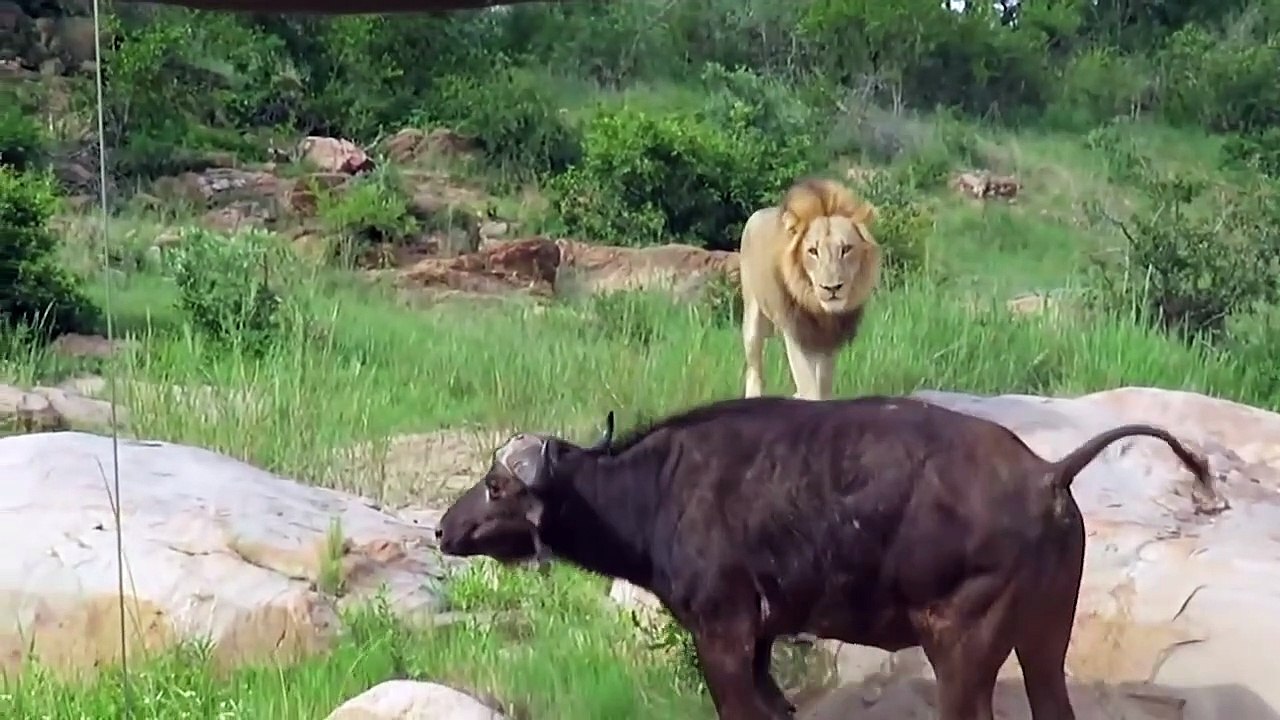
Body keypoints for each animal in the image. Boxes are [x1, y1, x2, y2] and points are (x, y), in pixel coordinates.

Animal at [738, 176, 881, 401]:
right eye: (813, 251)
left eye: (846, 249)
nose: (832, 288)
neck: (819, 310)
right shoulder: (796, 332)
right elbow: (808, 383)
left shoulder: (827, 340)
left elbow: (822, 383)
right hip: (753, 314)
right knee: (754, 367)